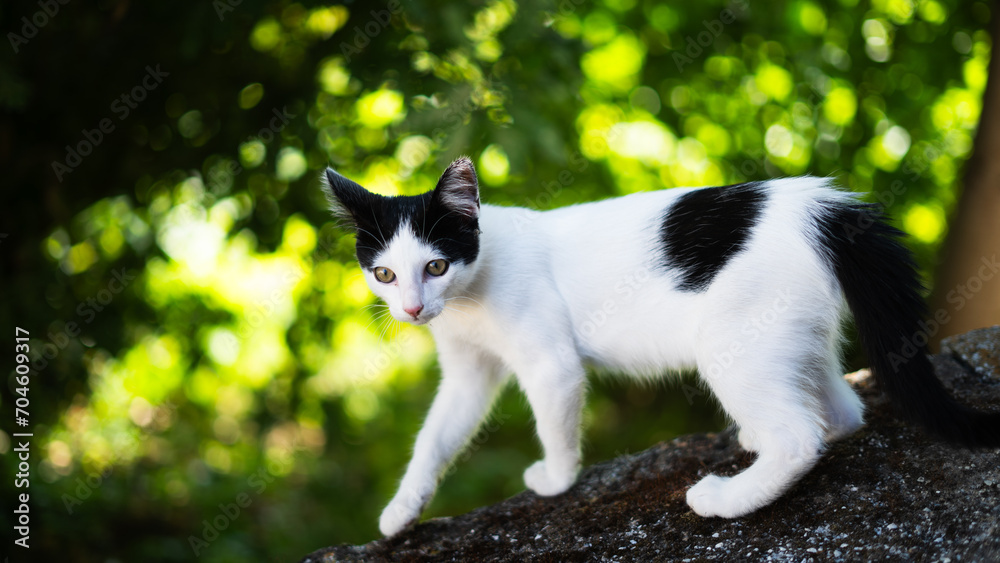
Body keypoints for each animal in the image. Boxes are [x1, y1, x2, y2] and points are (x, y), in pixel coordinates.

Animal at [320, 156, 1000, 536]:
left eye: (435, 265)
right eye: (385, 274)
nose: (412, 308)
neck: (468, 296)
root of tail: (816, 203)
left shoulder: (551, 364)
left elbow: (555, 424)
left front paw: (557, 480)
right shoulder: (467, 371)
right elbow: (434, 437)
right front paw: (402, 511)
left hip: (732, 344)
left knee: (800, 437)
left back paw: (727, 497)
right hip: (791, 336)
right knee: (841, 412)